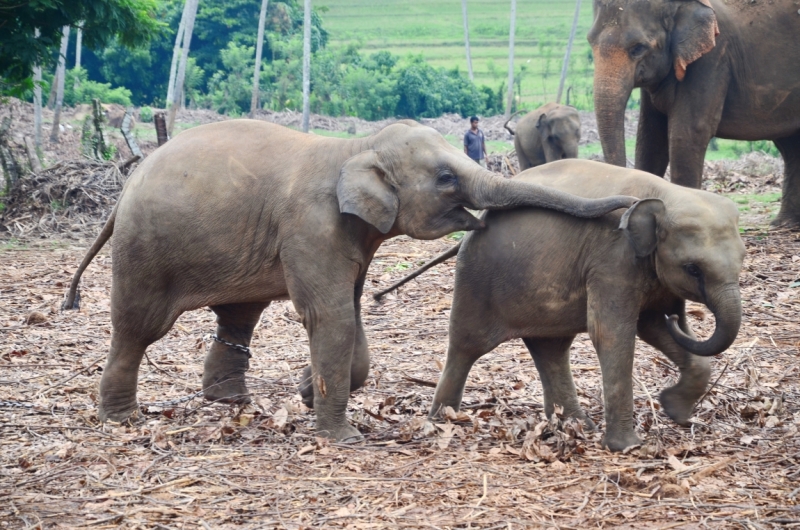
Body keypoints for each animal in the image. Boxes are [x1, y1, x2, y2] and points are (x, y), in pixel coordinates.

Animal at [61, 118, 636, 438]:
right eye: (445, 178)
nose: (628, 208)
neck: (356, 147)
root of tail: (128, 181)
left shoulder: (353, 235)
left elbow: (350, 314)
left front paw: (307, 394)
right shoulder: (312, 226)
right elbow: (329, 314)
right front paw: (340, 437)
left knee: (238, 316)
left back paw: (229, 403)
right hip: (144, 247)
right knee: (138, 326)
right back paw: (122, 419)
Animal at [376, 158, 744, 450]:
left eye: (741, 261)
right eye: (693, 268)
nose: (679, 317)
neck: (668, 194)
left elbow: (650, 326)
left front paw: (675, 412)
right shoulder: (613, 259)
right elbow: (612, 334)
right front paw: (627, 447)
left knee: (551, 349)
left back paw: (577, 428)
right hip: (475, 280)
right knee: (466, 346)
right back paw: (443, 421)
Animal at [588, 0, 800, 227]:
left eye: (638, 48)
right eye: (590, 42)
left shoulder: (712, 59)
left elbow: (687, 134)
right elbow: (650, 138)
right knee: (790, 146)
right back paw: (784, 223)